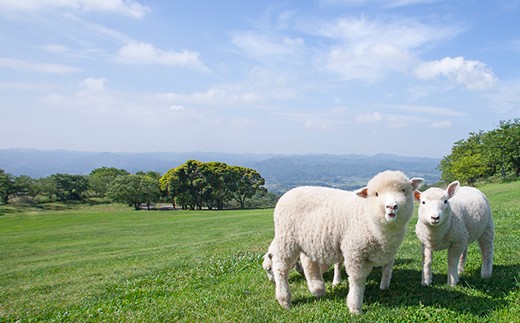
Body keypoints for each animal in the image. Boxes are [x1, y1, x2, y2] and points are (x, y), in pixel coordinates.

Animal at [270, 171, 424, 316]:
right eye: (376, 194)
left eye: (404, 190)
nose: (391, 206)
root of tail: (288, 193)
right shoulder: (355, 251)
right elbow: (357, 279)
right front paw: (355, 307)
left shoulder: (384, 254)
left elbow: (386, 271)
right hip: (287, 238)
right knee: (280, 267)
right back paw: (284, 299)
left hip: (309, 240)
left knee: (308, 262)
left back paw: (318, 289)